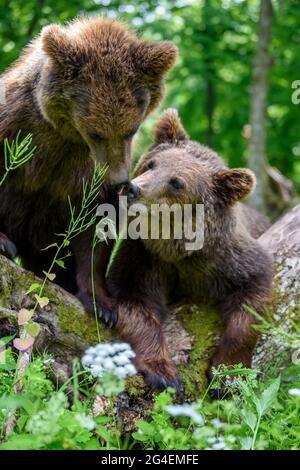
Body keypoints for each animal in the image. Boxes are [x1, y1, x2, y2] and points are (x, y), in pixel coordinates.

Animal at [0, 17, 177, 320]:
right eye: (96, 133)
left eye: (132, 129)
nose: (120, 181)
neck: (65, 135)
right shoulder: (18, 126)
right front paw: (1, 241)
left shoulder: (85, 172)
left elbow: (96, 229)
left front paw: (102, 304)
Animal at [107, 109, 272, 390]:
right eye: (152, 163)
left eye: (176, 183)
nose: (132, 188)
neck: (179, 250)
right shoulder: (145, 256)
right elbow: (135, 302)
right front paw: (162, 373)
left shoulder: (228, 260)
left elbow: (252, 303)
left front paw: (228, 373)